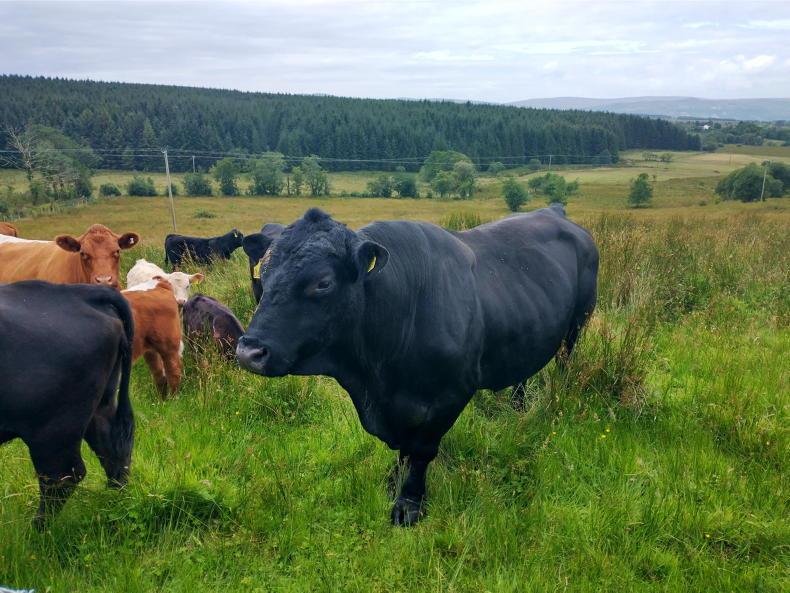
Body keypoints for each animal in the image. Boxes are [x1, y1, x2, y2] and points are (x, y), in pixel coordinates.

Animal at [0, 281, 135, 527]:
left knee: (62, 476)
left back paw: (34, 529)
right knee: (115, 455)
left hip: (52, 430)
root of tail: (80, 293)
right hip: (101, 407)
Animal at [236, 205, 598, 526]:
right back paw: (518, 406)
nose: (249, 351)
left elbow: (420, 450)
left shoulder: (451, 395)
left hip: (576, 326)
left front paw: (409, 503)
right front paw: (392, 481)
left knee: (564, 363)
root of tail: (554, 212)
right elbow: (404, 450)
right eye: (263, 274)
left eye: (322, 283)